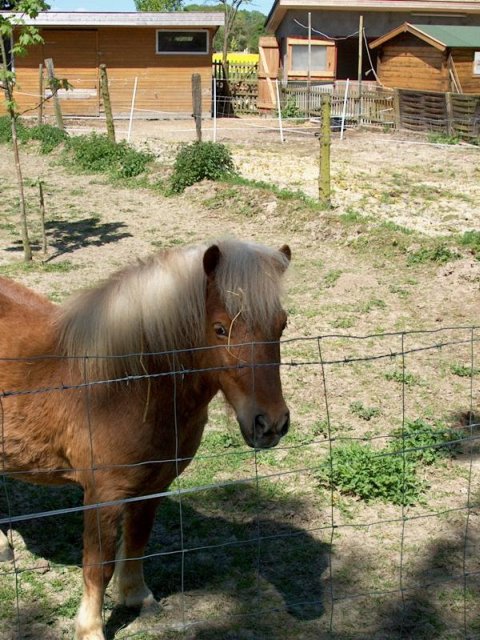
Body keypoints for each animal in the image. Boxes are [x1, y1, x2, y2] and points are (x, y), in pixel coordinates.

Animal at [0, 238, 292, 640]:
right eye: (220, 329)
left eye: (282, 324)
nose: (271, 424)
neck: (126, 386)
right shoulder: (103, 495)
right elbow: (99, 565)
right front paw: (90, 629)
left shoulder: (154, 485)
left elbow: (138, 541)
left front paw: (136, 596)